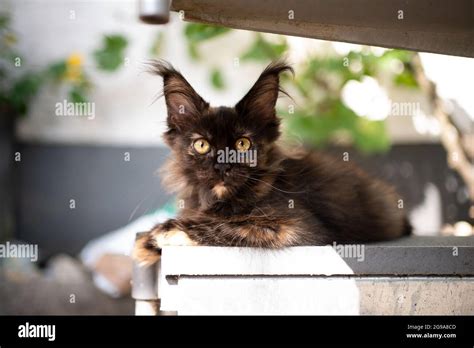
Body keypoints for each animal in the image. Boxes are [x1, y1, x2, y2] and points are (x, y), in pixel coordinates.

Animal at [131, 60, 410, 266]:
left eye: (243, 144)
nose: (223, 165)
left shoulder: (298, 228)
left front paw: (162, 232)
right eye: (202, 145)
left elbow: (228, 224)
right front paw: (147, 242)